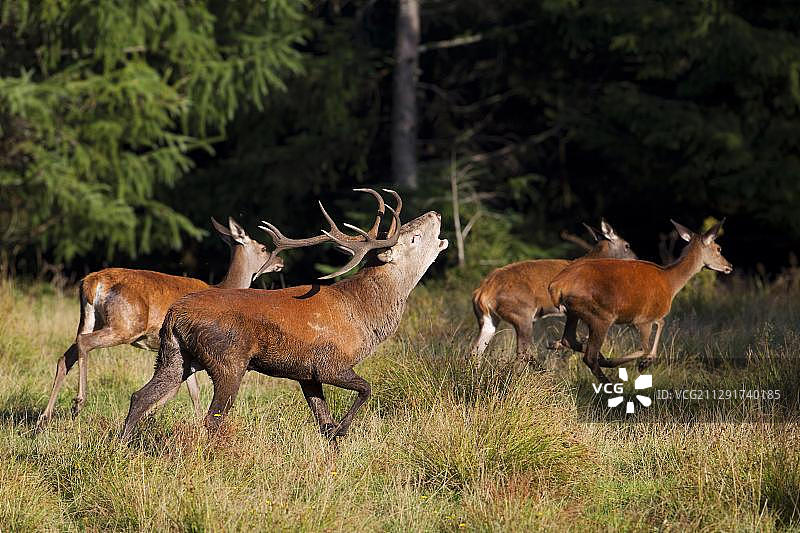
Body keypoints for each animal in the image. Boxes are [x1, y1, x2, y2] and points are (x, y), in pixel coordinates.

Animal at [37, 217, 283, 427]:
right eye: (263, 248)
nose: (280, 262)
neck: (223, 287)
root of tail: (90, 283)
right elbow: (188, 391)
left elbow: (188, 390)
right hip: (125, 325)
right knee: (85, 343)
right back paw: (78, 402)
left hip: (90, 320)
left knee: (66, 356)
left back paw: (44, 418)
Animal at [120, 189, 448, 442]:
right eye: (414, 237)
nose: (436, 213)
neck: (364, 316)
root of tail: (175, 315)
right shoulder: (330, 364)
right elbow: (365, 389)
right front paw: (343, 429)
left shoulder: (307, 374)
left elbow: (323, 423)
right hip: (228, 361)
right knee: (212, 418)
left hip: (176, 357)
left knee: (141, 396)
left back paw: (121, 448)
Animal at [470, 220, 636, 362]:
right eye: (627, 245)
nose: (636, 259)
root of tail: (482, 292)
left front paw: (555, 344)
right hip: (522, 313)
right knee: (522, 353)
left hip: (489, 319)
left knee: (475, 351)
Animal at [547, 219, 732, 382]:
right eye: (719, 248)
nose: (729, 266)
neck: (670, 283)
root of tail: (556, 286)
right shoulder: (643, 319)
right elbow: (645, 347)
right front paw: (639, 363)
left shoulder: (644, 316)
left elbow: (662, 323)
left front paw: (647, 361)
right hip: (600, 315)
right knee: (589, 357)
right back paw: (608, 382)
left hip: (574, 313)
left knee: (569, 339)